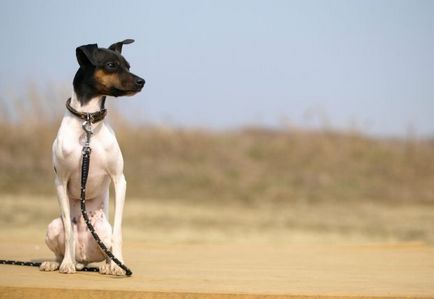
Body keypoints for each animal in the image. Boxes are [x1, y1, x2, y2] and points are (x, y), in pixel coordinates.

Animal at [39, 39, 144, 276]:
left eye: (129, 66)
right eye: (111, 65)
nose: (142, 81)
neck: (87, 122)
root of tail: (84, 258)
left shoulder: (119, 179)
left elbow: (119, 232)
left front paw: (118, 266)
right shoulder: (60, 181)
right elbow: (69, 231)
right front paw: (66, 264)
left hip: (103, 231)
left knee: (107, 248)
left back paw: (108, 265)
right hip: (52, 227)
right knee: (62, 245)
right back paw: (58, 262)